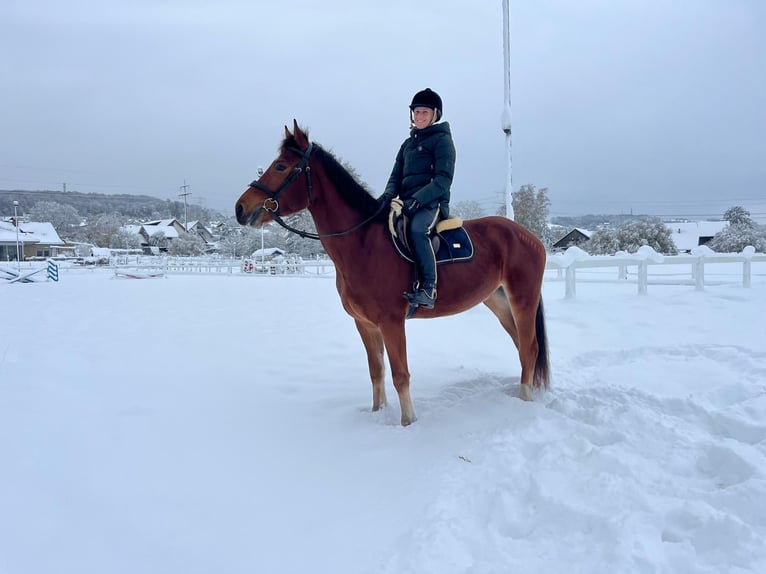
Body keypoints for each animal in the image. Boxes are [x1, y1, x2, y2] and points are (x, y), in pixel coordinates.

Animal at [236, 120, 552, 428]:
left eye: (281, 166)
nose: (241, 208)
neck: (362, 242)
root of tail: (529, 237)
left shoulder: (391, 322)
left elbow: (401, 374)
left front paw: (407, 423)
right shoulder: (365, 324)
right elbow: (376, 371)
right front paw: (378, 414)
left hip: (523, 300)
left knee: (530, 347)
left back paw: (525, 400)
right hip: (498, 300)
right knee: (521, 345)